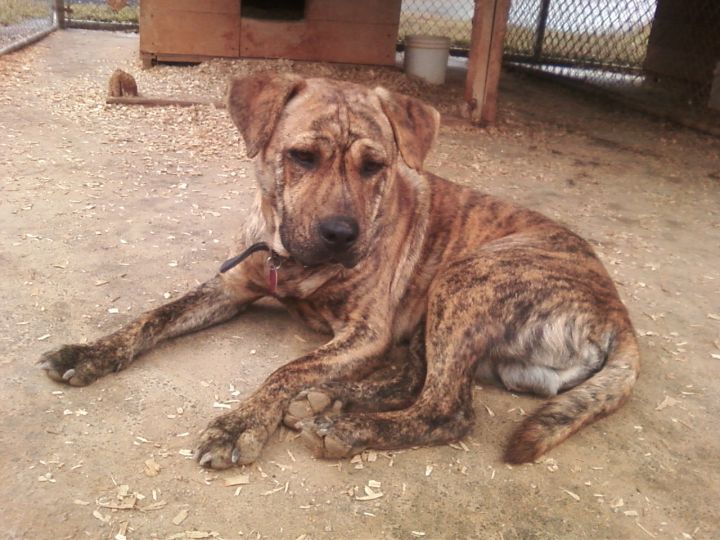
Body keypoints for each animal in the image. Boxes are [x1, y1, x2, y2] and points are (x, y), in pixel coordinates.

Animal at [36, 73, 640, 468]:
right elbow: (154, 317)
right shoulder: (229, 286)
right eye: (302, 157)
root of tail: (619, 317)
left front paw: (241, 423)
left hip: (466, 277)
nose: (341, 234)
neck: (287, 258)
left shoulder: (365, 332)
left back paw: (345, 425)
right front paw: (89, 352)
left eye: (375, 167)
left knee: (447, 408)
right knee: (416, 377)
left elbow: (288, 370)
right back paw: (333, 401)